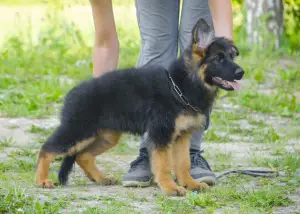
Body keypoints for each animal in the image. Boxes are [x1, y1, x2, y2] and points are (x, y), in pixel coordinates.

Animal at [34, 18, 244, 197]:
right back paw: (41, 180)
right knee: (47, 149)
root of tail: (72, 93)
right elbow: (163, 164)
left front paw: (189, 183)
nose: (241, 72)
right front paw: (170, 187)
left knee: (83, 156)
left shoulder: (182, 136)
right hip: (77, 130)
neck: (179, 87)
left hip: (106, 135)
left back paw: (101, 178)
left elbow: (183, 163)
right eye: (218, 58)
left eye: (232, 56)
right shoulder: (161, 134)